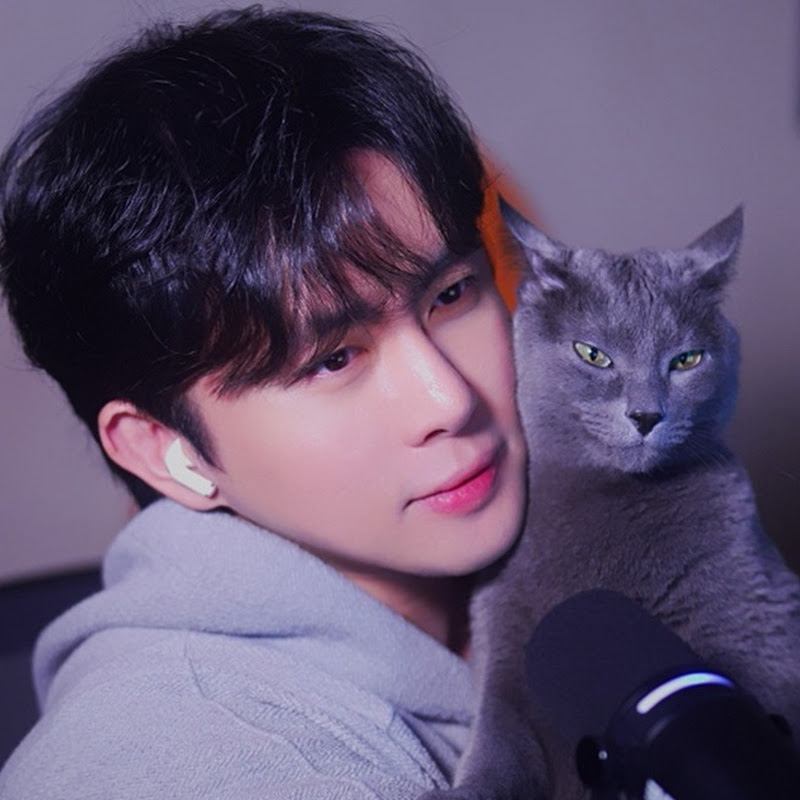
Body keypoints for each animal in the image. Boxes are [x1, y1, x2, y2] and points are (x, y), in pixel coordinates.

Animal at [420, 203, 800, 799]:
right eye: (592, 354)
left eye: (686, 360)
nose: (646, 414)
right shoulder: (503, 658)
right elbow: (498, 750)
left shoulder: (758, 638)